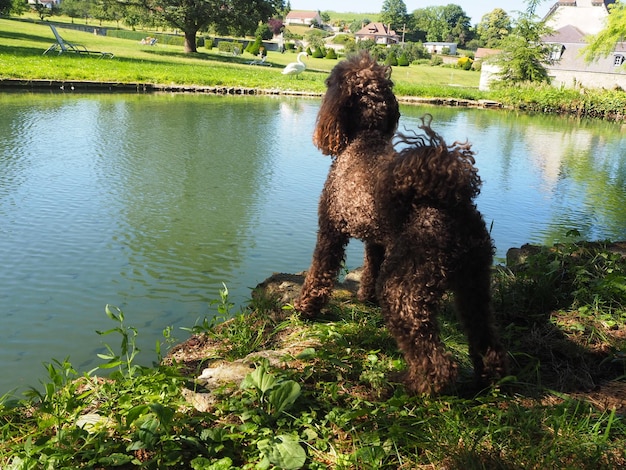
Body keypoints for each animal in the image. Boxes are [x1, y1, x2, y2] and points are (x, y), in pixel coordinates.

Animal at [294, 51, 508, 394]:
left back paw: (413, 385)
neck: (365, 139)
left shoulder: (330, 229)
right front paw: (365, 297)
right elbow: (370, 267)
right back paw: (490, 379)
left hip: (403, 288)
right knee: (486, 339)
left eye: (331, 81)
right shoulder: (377, 240)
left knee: (435, 358)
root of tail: (450, 201)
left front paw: (305, 310)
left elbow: (319, 274)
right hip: (474, 283)